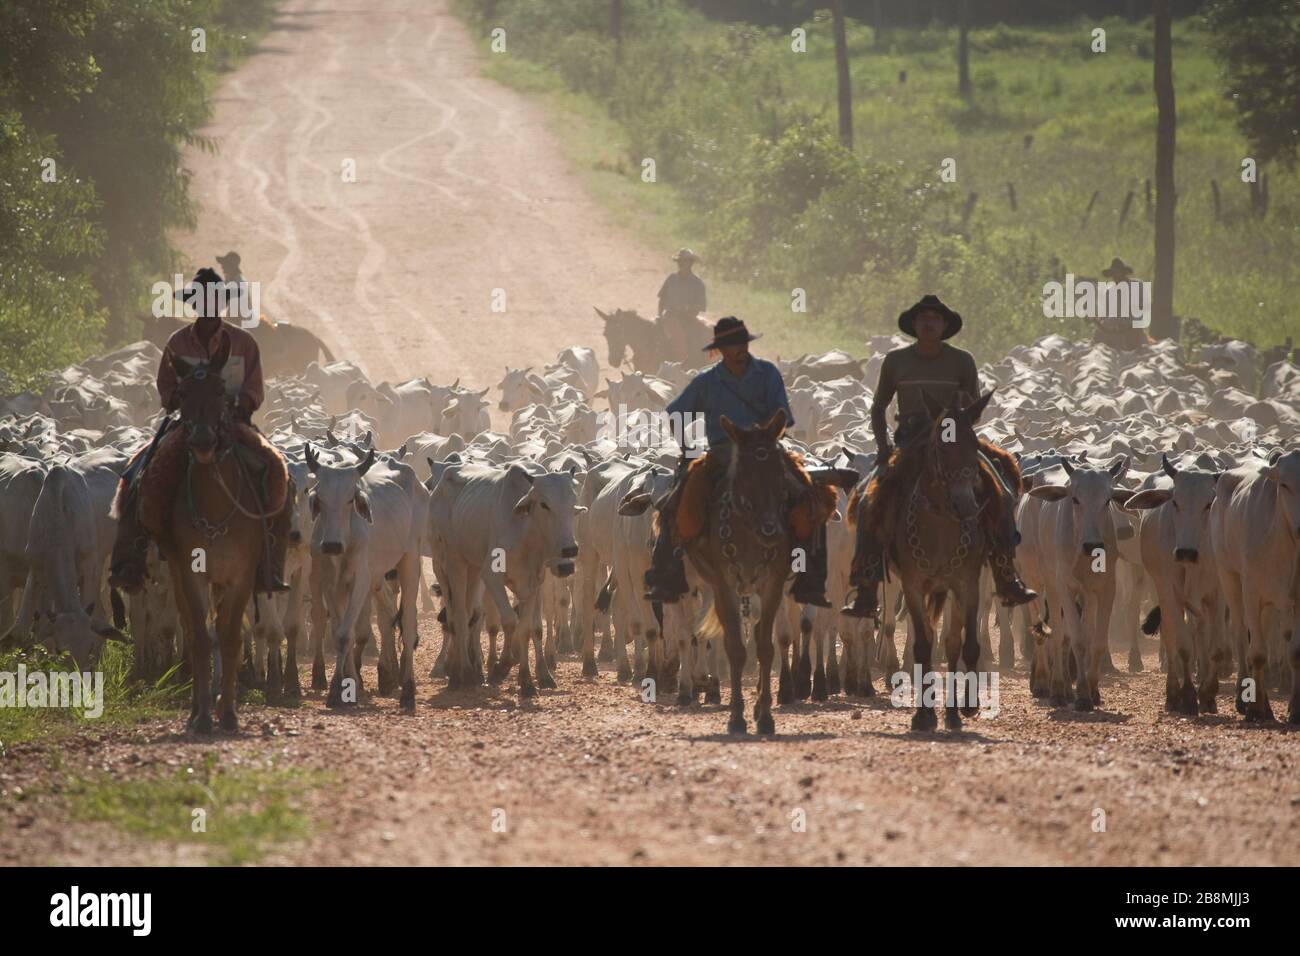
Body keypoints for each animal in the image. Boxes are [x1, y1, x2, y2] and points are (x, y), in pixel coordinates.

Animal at [157, 340, 269, 738]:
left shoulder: (241, 576)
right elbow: (202, 639)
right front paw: (204, 716)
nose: (204, 440)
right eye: (182, 393)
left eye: (222, 390)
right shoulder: (192, 575)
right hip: (179, 574)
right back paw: (196, 711)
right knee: (194, 632)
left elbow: (231, 637)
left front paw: (229, 713)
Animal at [686, 408, 795, 733]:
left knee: (760, 633)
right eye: (744, 473)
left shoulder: (773, 583)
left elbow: (765, 647)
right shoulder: (723, 584)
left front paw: (766, 715)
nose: (771, 529)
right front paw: (736, 716)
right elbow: (734, 647)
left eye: (779, 471)